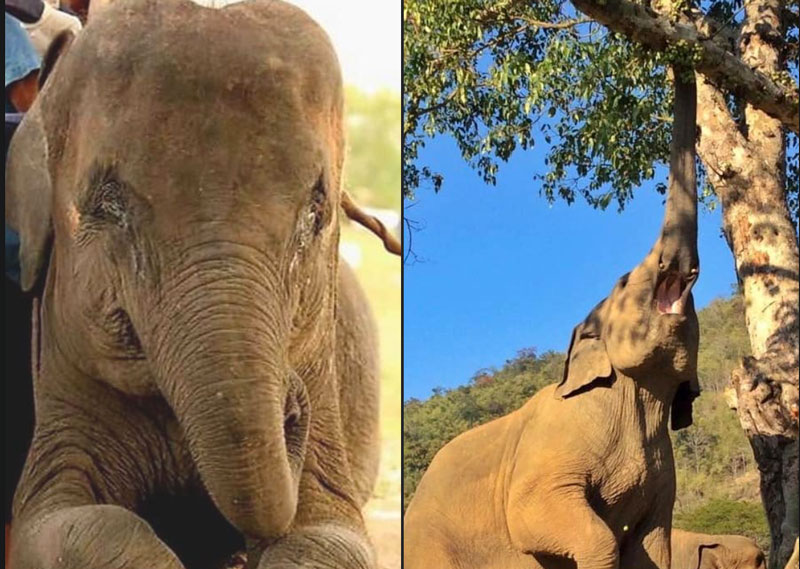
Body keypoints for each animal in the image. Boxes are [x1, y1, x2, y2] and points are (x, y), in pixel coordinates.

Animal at [404, 66, 696, 564]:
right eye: (624, 283)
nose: (680, 63)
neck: (636, 396)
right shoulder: (550, 452)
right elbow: (537, 518)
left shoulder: (664, 481)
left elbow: (654, 548)